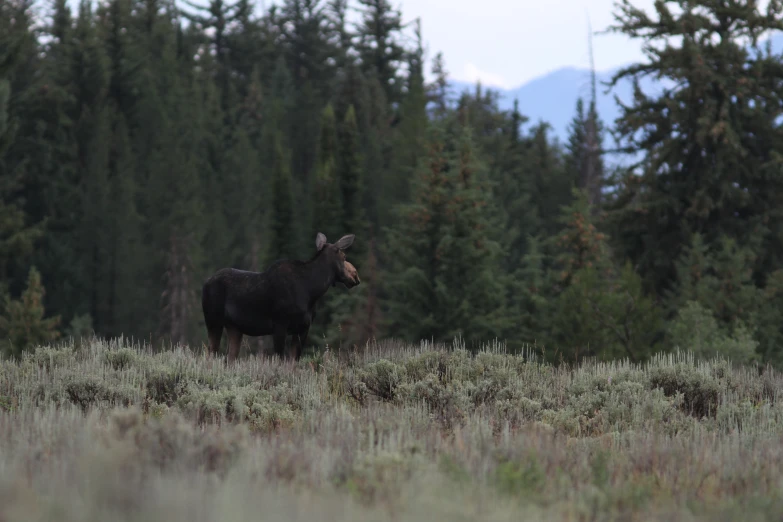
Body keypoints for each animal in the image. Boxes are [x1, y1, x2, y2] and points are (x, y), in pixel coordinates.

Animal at [202, 232, 362, 362]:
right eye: (344, 257)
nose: (355, 276)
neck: (312, 290)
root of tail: (206, 282)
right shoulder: (280, 324)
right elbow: (281, 360)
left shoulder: (304, 327)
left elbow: (293, 362)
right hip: (213, 321)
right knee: (211, 354)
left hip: (234, 327)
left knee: (229, 358)